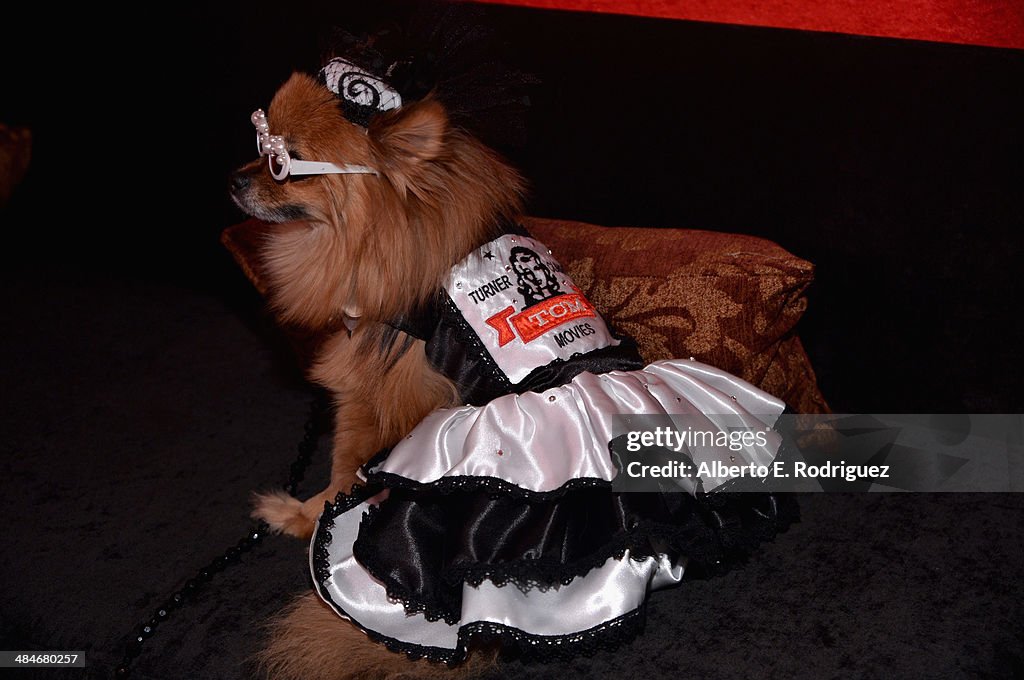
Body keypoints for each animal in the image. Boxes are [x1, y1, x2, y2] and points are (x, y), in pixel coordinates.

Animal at [229, 70, 524, 680]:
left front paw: (301, 515)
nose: (235, 179)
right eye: (262, 149)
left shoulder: (367, 399)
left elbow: (341, 475)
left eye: (286, 163)